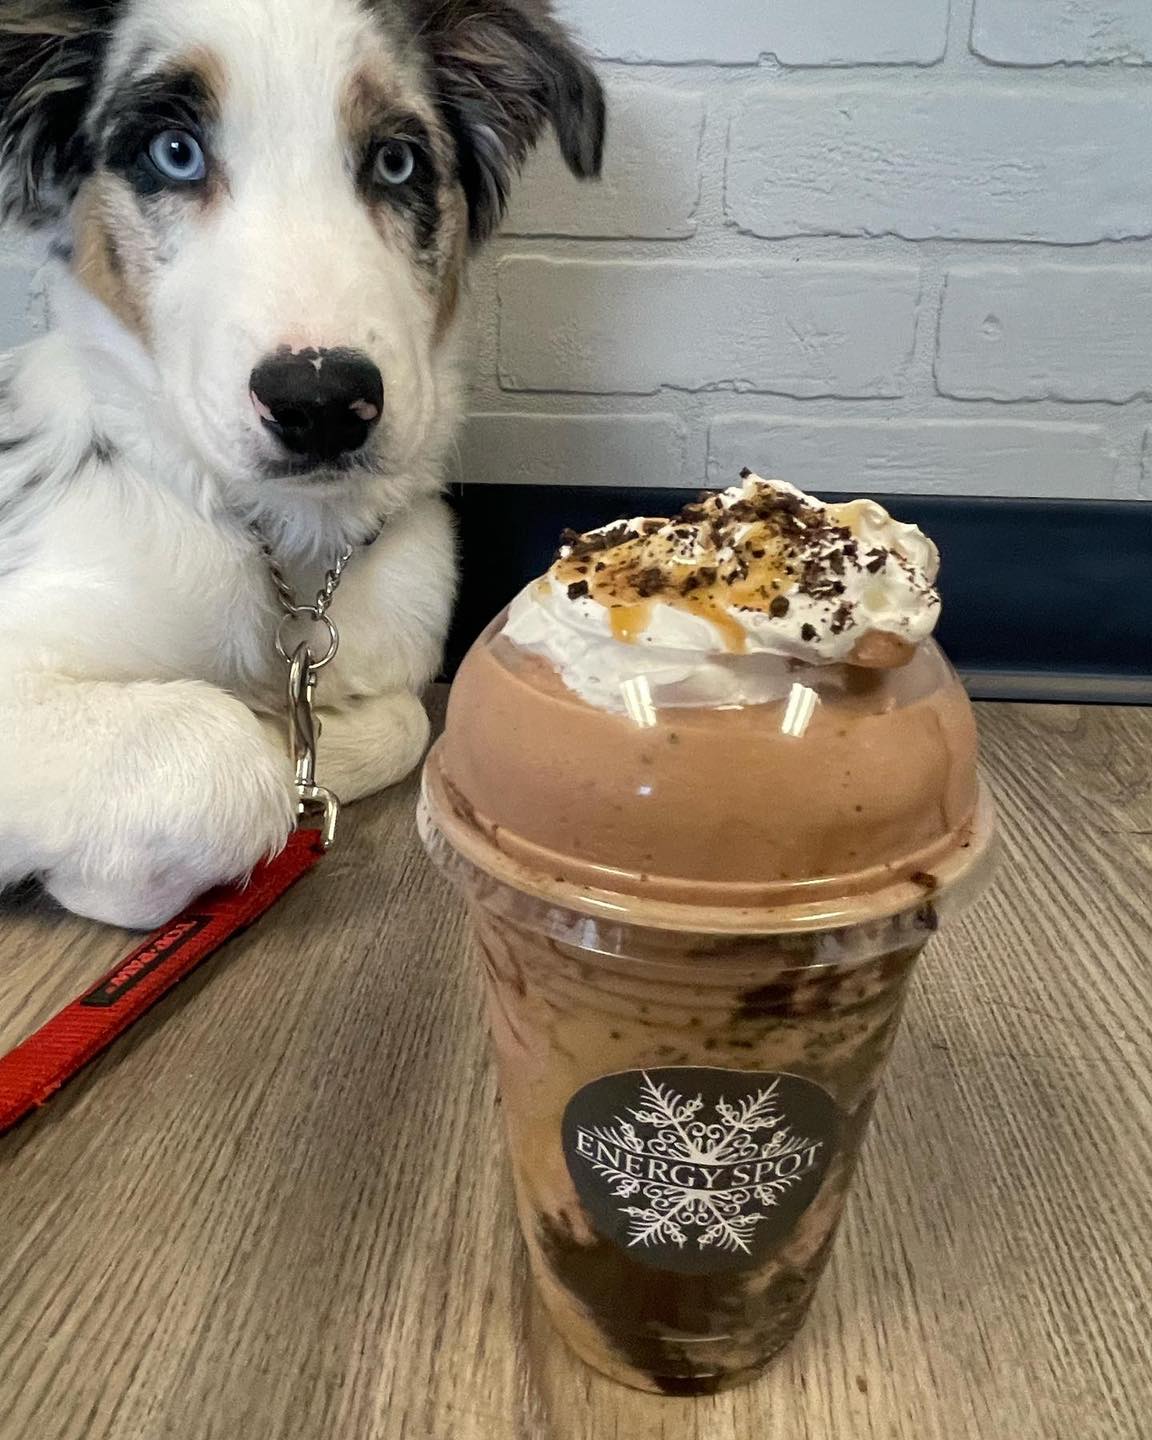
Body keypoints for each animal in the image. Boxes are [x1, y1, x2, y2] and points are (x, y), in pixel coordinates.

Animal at [0, 0, 604, 928]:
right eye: (174, 152)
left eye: (397, 160)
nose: (319, 403)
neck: (283, 543)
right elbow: (225, 761)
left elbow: (403, 723)